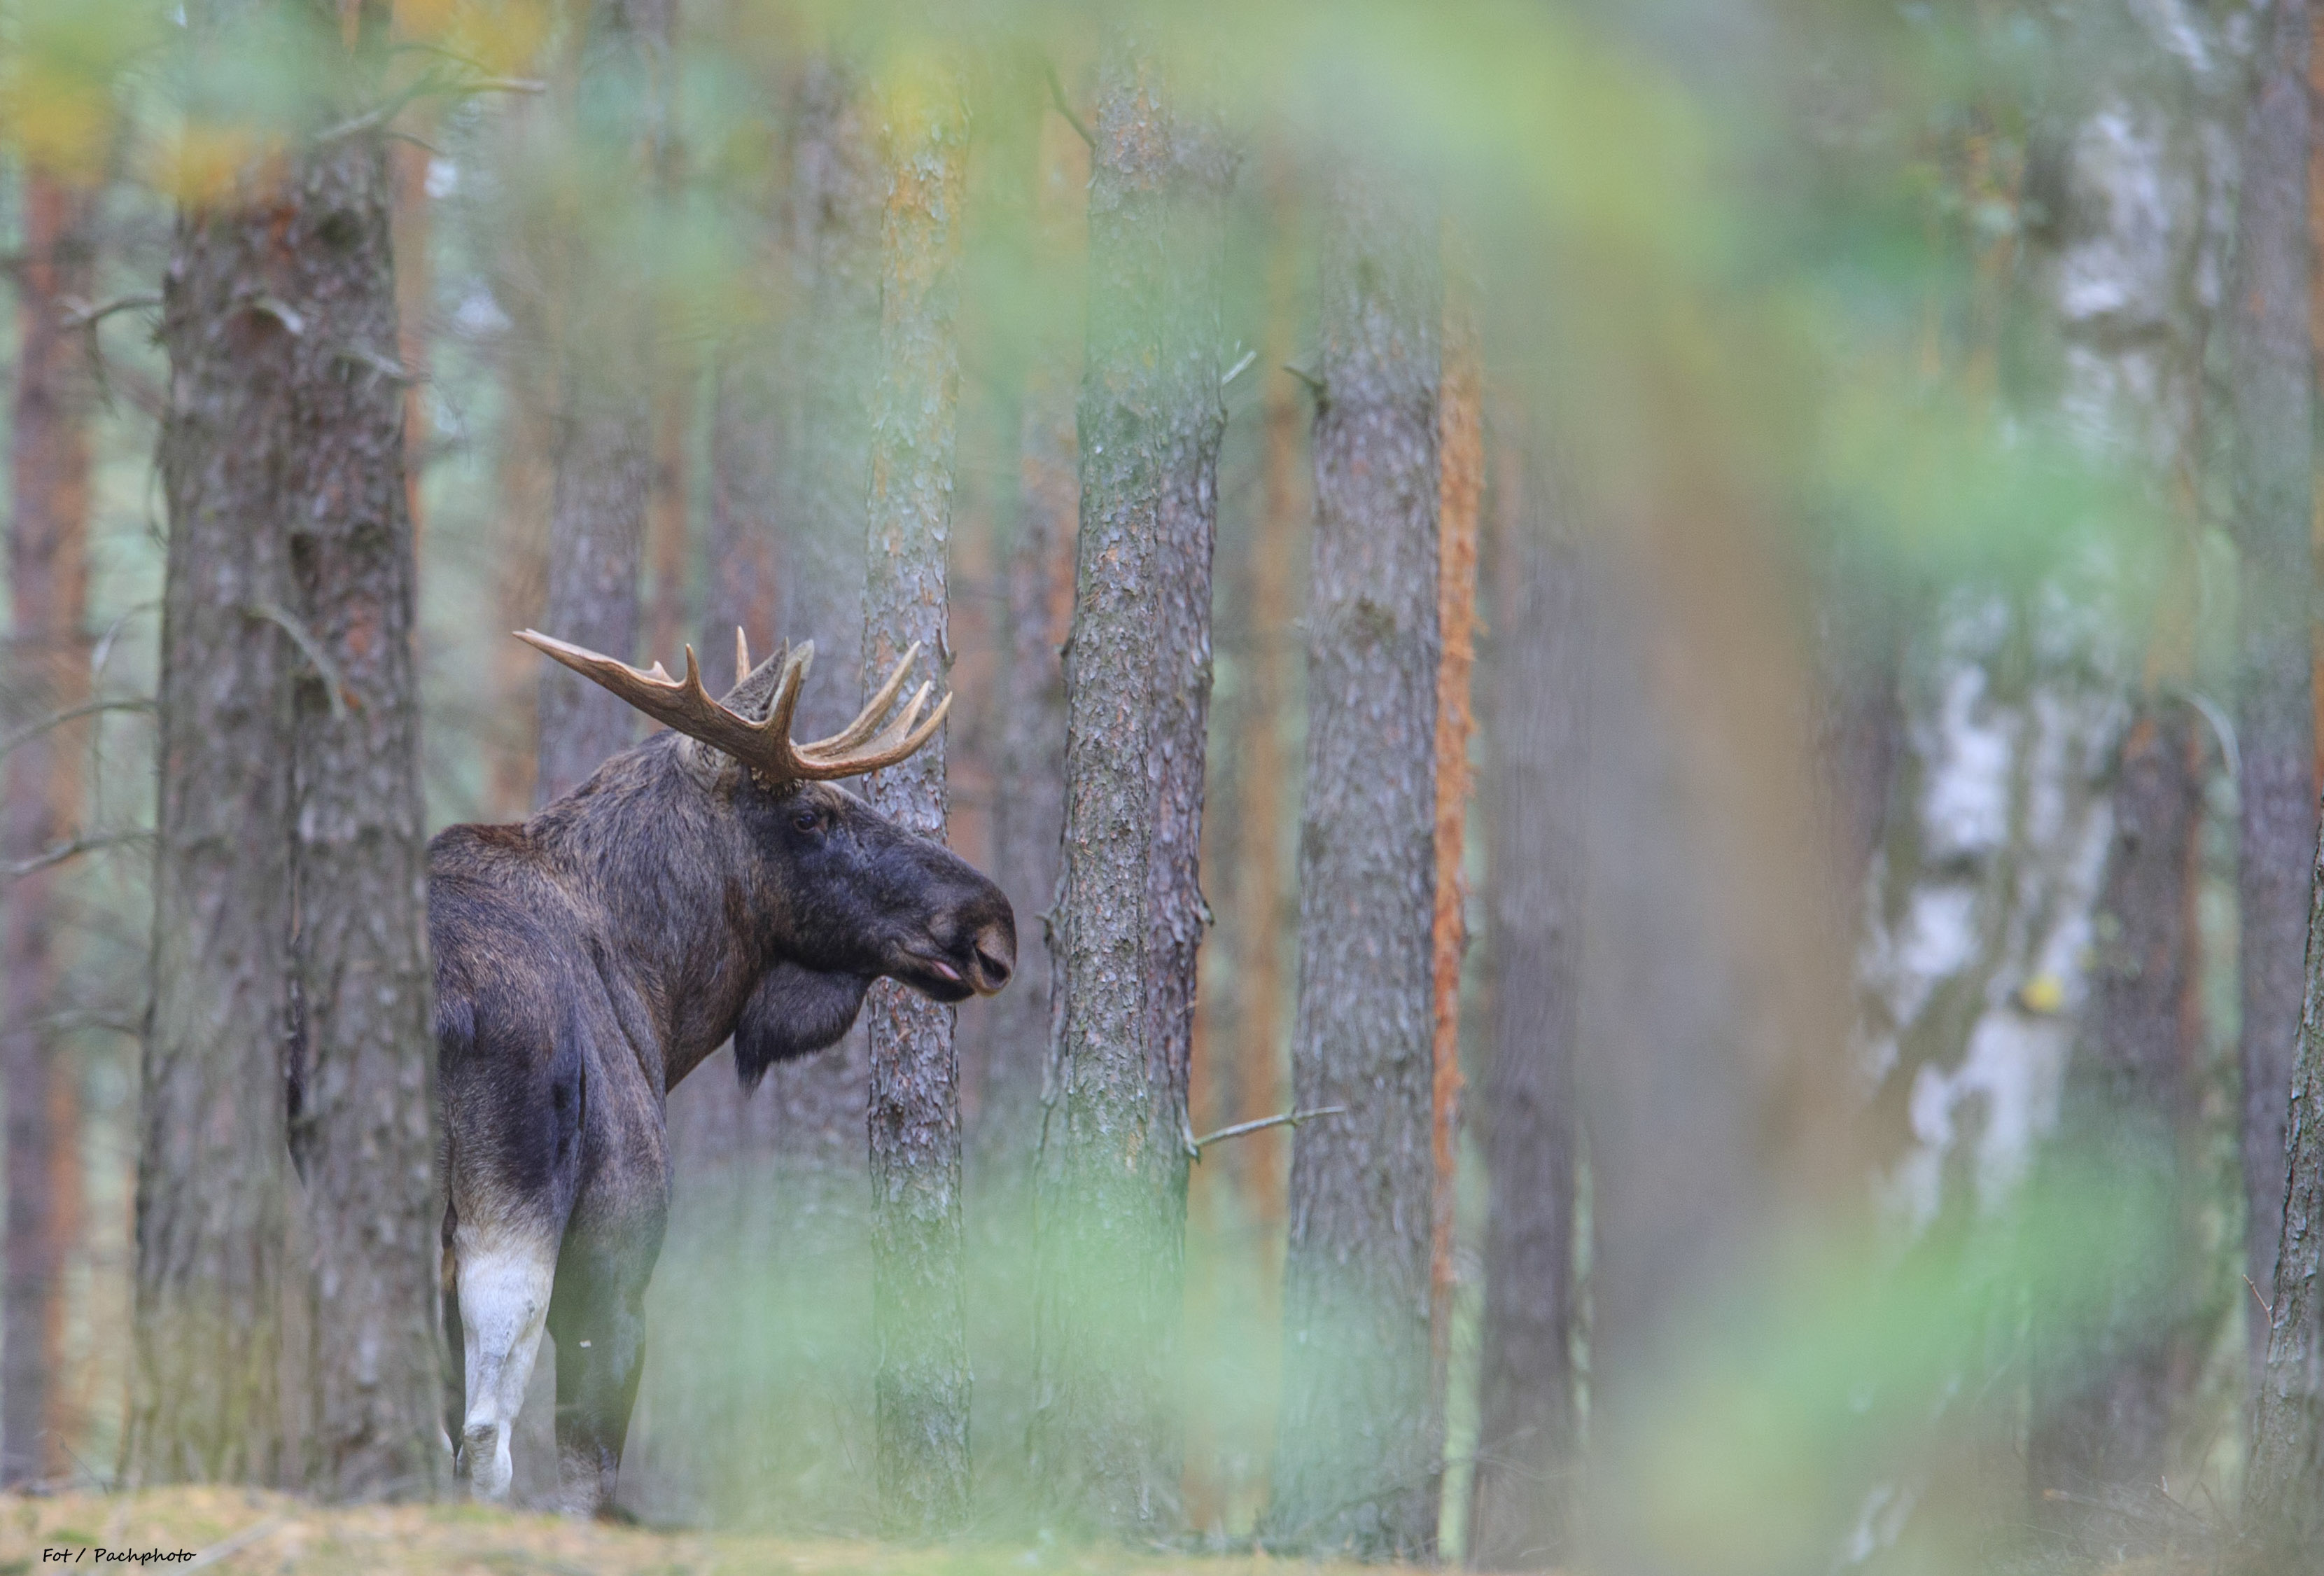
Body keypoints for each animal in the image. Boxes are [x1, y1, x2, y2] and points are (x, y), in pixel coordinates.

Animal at [432, 627, 1013, 1515]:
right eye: (810, 813)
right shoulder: (613, 1265)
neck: (661, 994)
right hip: (509, 1225)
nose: (992, 925)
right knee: (486, 1442)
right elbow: (584, 1479)